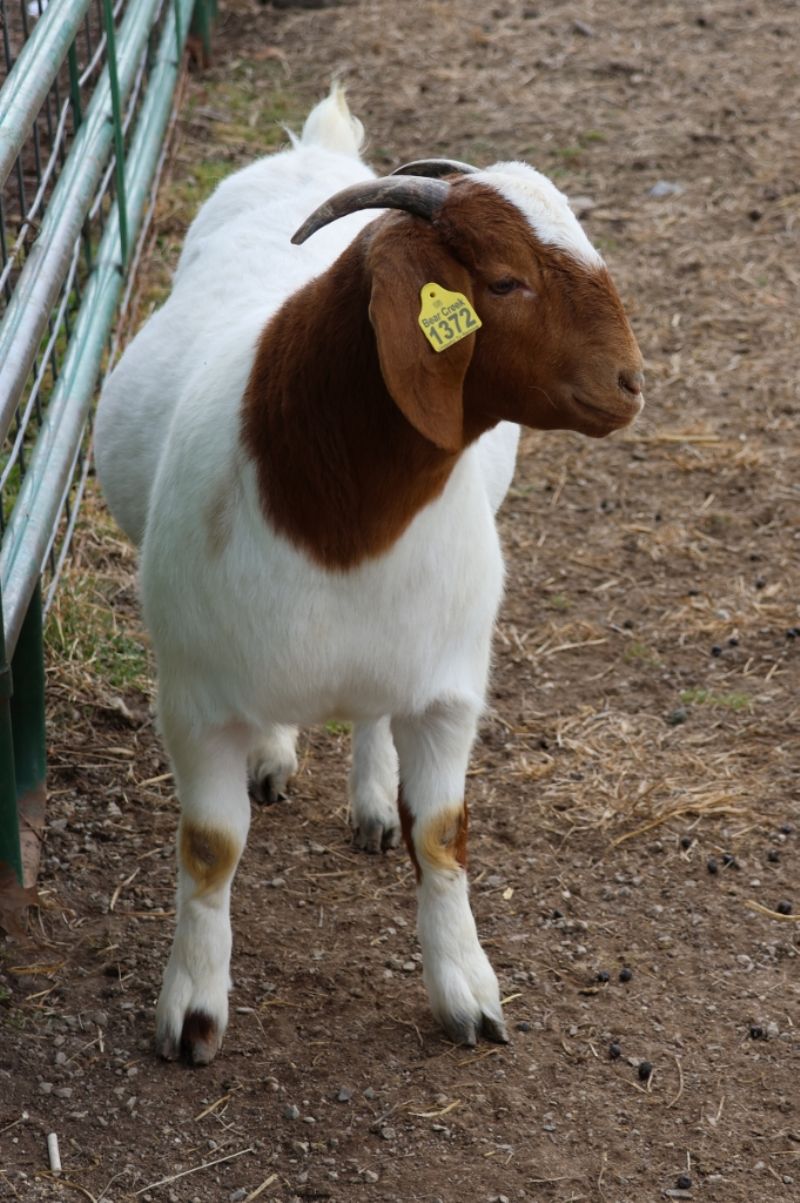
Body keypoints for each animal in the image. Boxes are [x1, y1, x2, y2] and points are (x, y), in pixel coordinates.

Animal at [94, 84, 644, 1065]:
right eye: (506, 280)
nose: (630, 381)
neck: (337, 519)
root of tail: (315, 149)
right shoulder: (193, 699)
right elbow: (210, 848)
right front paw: (192, 1012)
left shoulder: (449, 687)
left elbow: (444, 835)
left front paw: (468, 993)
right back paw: (276, 755)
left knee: (374, 712)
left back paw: (370, 799)